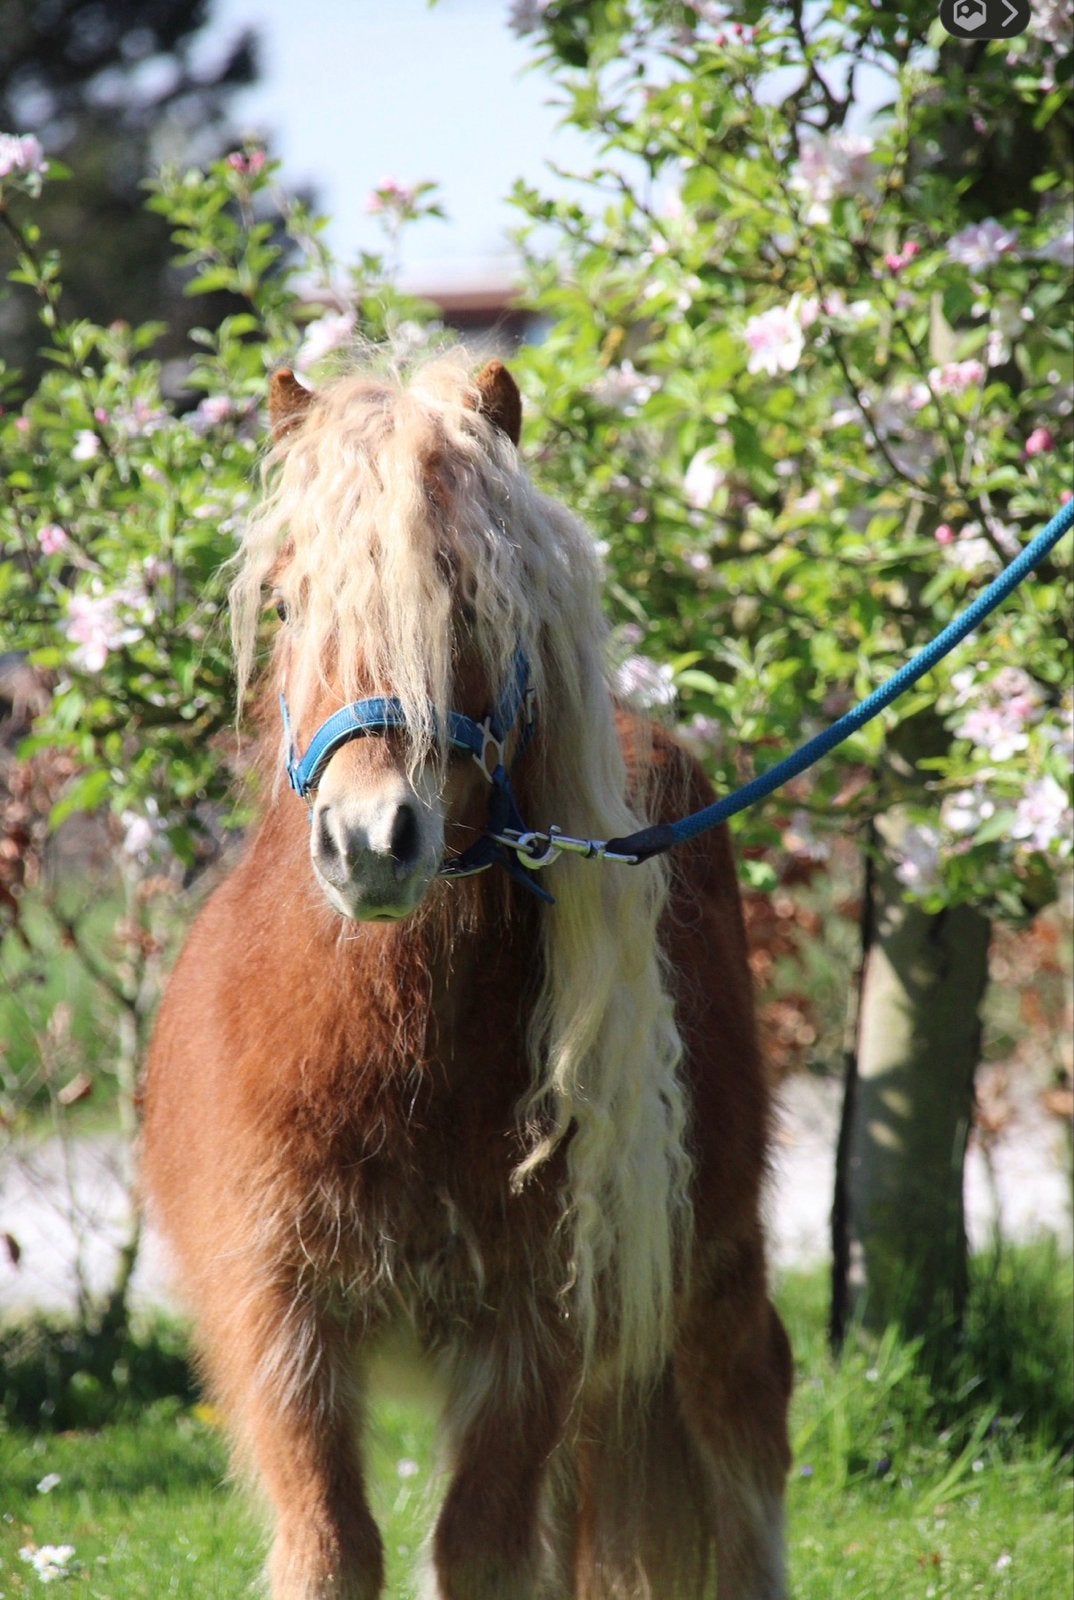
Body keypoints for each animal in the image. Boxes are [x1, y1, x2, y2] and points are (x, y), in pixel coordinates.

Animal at [140, 349, 792, 1600]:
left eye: (472, 603)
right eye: (288, 602)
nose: (370, 840)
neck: (389, 1064)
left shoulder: (532, 1332)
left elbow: (481, 1547)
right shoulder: (277, 1324)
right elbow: (332, 1545)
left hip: (713, 1279)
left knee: (747, 1440)